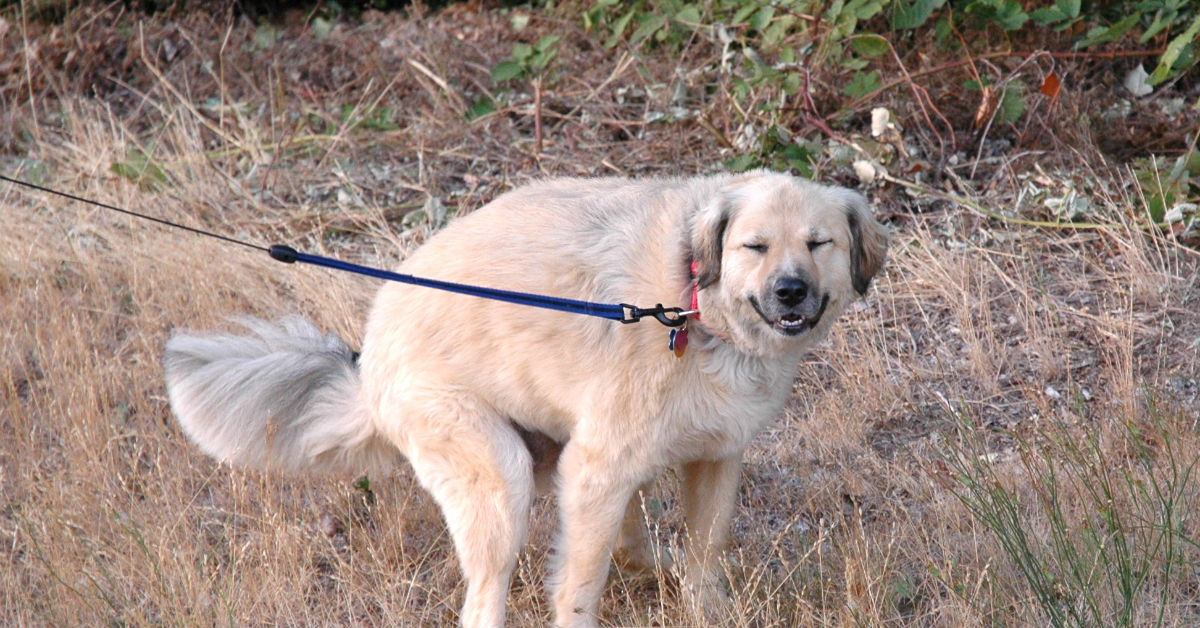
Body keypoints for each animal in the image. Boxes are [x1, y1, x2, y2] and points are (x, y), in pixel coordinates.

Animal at [164, 169, 888, 624]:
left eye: (818, 244)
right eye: (754, 246)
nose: (791, 291)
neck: (691, 303)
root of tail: (368, 362)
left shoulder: (714, 460)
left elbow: (704, 558)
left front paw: (700, 608)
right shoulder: (596, 470)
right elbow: (577, 589)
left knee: (626, 535)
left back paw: (647, 566)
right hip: (500, 479)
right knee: (485, 601)